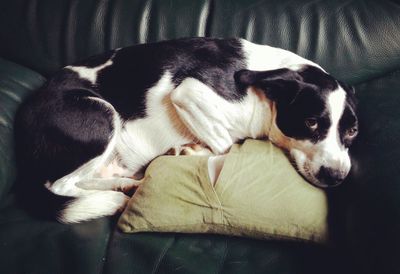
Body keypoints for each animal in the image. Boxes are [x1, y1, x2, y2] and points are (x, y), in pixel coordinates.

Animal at [14, 37, 360, 224]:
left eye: (352, 131)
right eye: (311, 122)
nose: (337, 176)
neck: (265, 84)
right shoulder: (188, 92)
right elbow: (226, 144)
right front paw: (193, 150)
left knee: (82, 180)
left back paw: (125, 185)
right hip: (101, 114)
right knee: (60, 186)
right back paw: (114, 198)